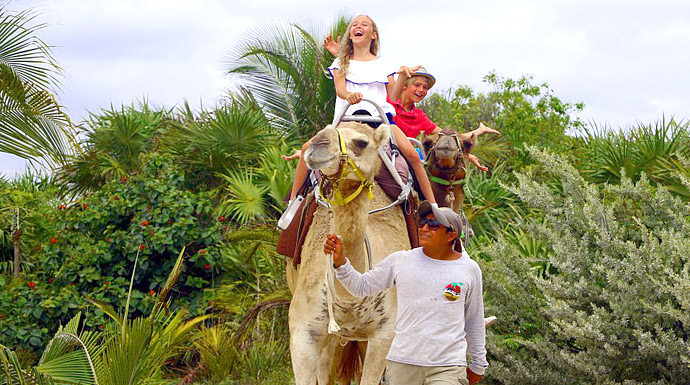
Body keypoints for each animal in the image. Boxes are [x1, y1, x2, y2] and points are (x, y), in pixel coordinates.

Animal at [284, 121, 408, 384]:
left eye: (361, 142)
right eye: (320, 131)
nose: (317, 144)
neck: (349, 299)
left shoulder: (384, 334)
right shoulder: (303, 332)